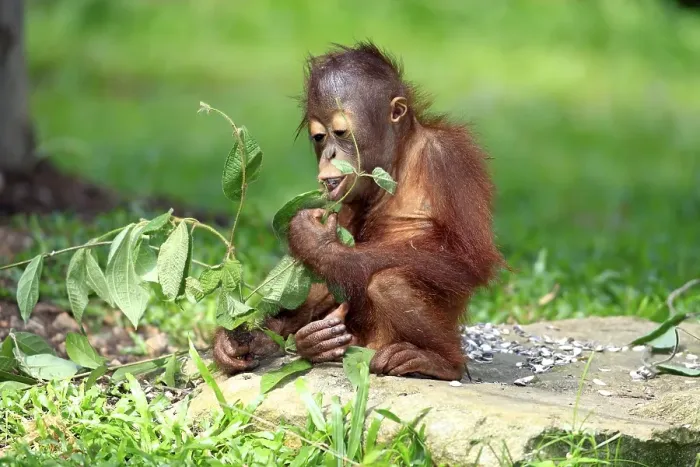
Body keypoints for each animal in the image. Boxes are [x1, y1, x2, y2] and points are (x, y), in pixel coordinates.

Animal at [213, 41, 505, 381]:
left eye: (340, 133)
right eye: (319, 136)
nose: (329, 154)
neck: (399, 159)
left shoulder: (449, 159)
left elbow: (468, 260)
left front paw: (317, 242)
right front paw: (237, 338)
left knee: (387, 282)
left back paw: (440, 362)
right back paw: (301, 341)